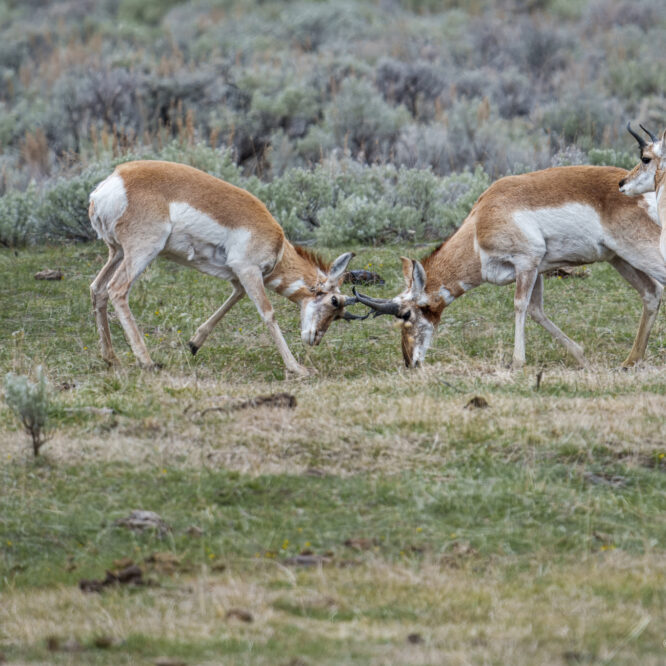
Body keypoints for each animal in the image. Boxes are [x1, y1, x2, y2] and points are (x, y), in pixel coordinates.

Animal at [88, 160, 365, 376]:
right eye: (334, 302)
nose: (314, 339)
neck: (278, 248)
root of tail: (111, 183)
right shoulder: (248, 270)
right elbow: (268, 313)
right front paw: (297, 368)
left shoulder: (237, 276)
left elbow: (234, 298)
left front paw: (194, 343)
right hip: (141, 252)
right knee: (117, 289)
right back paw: (147, 362)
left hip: (117, 252)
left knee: (98, 288)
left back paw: (111, 358)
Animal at [353, 165, 666, 369]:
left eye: (406, 314)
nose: (410, 362)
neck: (480, 223)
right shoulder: (537, 269)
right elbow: (537, 311)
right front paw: (580, 355)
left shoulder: (526, 262)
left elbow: (519, 306)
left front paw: (517, 362)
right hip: (620, 259)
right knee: (651, 294)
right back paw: (631, 360)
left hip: (639, 253)